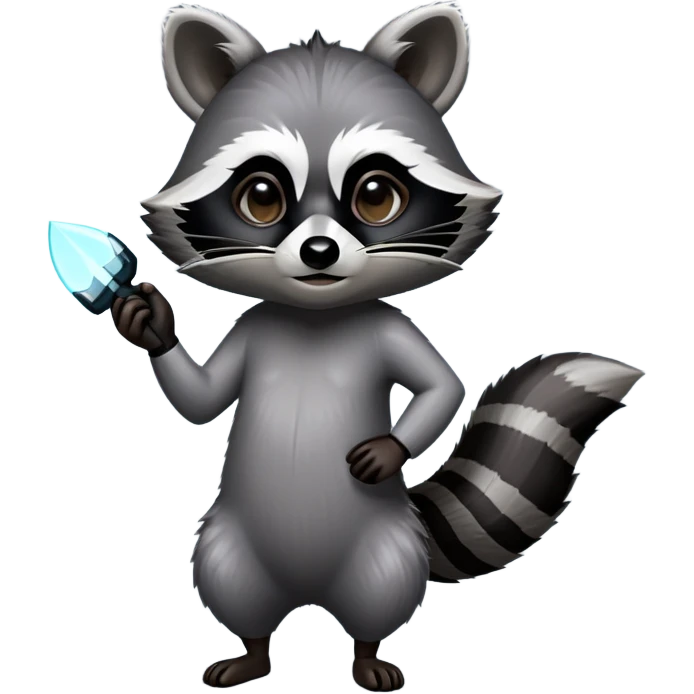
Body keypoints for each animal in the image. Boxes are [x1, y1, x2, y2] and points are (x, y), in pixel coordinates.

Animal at [112, 2, 645, 690]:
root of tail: (309, 594)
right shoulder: (255, 323)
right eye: (262, 197)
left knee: (380, 596)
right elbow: (203, 401)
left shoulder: (386, 324)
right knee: (230, 583)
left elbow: (442, 386)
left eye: (375, 195)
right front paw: (151, 324)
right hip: (229, 542)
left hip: (385, 549)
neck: (318, 315)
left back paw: (368, 655)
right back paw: (251, 650)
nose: (318, 253)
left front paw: (390, 449)